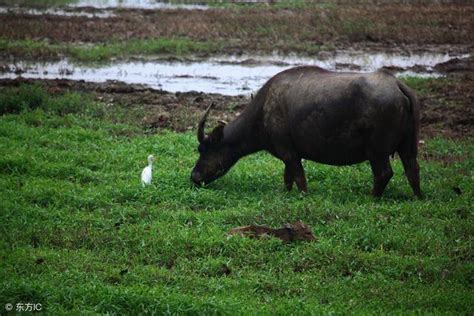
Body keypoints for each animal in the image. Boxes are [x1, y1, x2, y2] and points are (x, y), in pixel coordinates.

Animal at [191, 65, 420, 196]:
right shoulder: (290, 156)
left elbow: (299, 179)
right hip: (408, 145)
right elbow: (288, 178)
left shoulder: (289, 153)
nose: (194, 177)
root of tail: (397, 84)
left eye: (205, 150)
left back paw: (373, 196)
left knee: (383, 173)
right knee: (412, 169)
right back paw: (418, 196)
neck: (263, 112)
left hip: (377, 151)